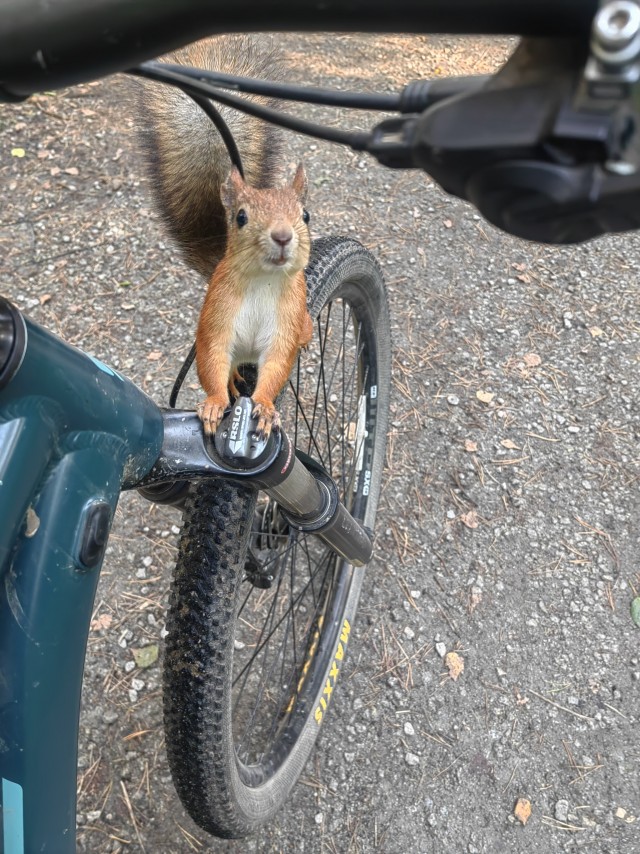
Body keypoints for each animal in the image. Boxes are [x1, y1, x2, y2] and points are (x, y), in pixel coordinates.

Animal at [138, 35, 313, 437]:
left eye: (305, 215)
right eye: (241, 217)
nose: (283, 236)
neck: (263, 282)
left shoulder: (285, 322)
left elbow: (276, 365)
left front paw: (265, 407)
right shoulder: (217, 316)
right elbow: (212, 358)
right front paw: (216, 401)